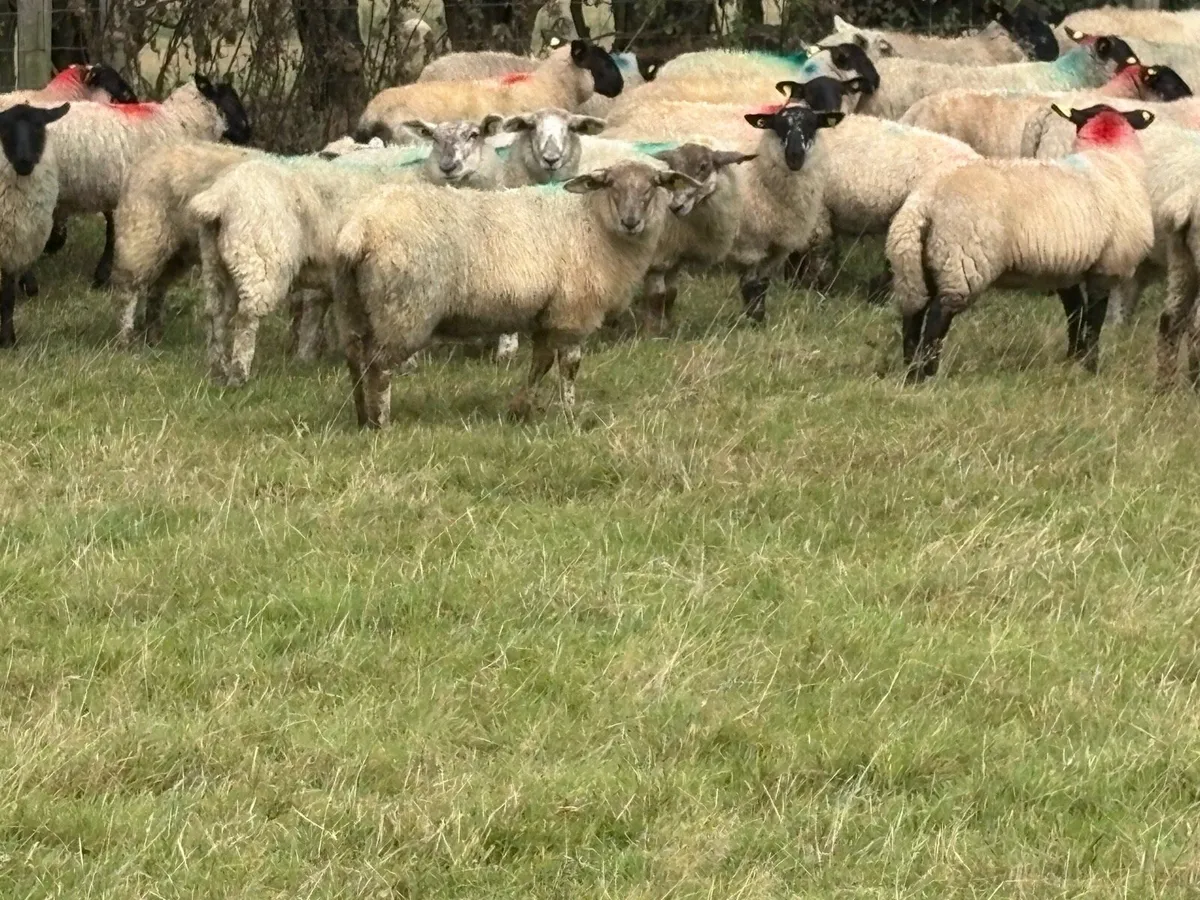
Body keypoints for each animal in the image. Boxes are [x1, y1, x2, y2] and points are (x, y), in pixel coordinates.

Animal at [0, 103, 70, 348]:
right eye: (5, 129)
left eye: (39, 127)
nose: (24, 162)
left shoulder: (12, 251)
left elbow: (7, 299)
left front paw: (8, 340)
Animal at [330, 160, 700, 427]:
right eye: (610, 184)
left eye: (653, 185)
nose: (631, 221)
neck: (593, 223)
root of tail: (359, 230)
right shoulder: (573, 314)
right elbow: (569, 366)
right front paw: (569, 414)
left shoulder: (547, 315)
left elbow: (541, 363)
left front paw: (520, 409)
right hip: (403, 309)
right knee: (379, 366)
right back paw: (382, 424)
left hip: (353, 303)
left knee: (355, 360)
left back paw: (362, 418)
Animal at [885, 103, 1155, 382]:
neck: (1110, 156)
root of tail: (924, 203)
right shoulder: (1107, 266)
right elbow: (1094, 320)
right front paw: (1090, 366)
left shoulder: (1063, 271)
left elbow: (1075, 312)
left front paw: (1074, 357)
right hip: (962, 259)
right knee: (939, 314)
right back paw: (926, 374)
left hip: (914, 263)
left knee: (914, 313)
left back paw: (911, 370)